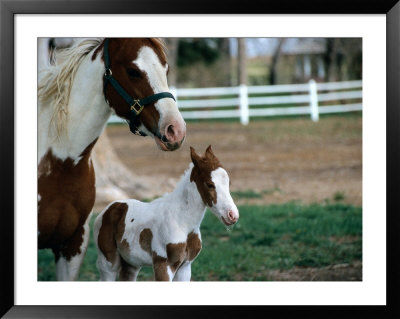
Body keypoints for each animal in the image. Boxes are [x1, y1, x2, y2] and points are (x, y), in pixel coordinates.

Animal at [94, 146, 239, 282]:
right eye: (210, 184)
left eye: (229, 183)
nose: (233, 215)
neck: (182, 222)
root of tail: (108, 209)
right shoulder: (163, 264)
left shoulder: (185, 267)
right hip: (108, 262)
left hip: (131, 263)